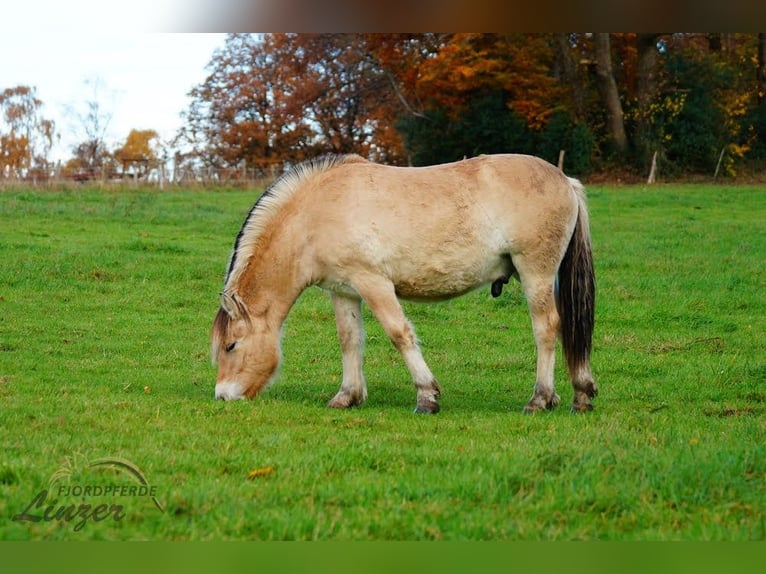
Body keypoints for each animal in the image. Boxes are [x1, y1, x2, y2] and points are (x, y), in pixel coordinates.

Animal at [211, 153, 597, 414]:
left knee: (546, 328)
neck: (315, 215)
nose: (223, 396)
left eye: (231, 345)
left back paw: (540, 398)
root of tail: (565, 180)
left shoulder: (374, 283)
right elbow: (349, 340)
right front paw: (347, 396)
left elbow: (400, 334)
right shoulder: (343, 291)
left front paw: (427, 396)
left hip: (536, 274)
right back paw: (576, 394)